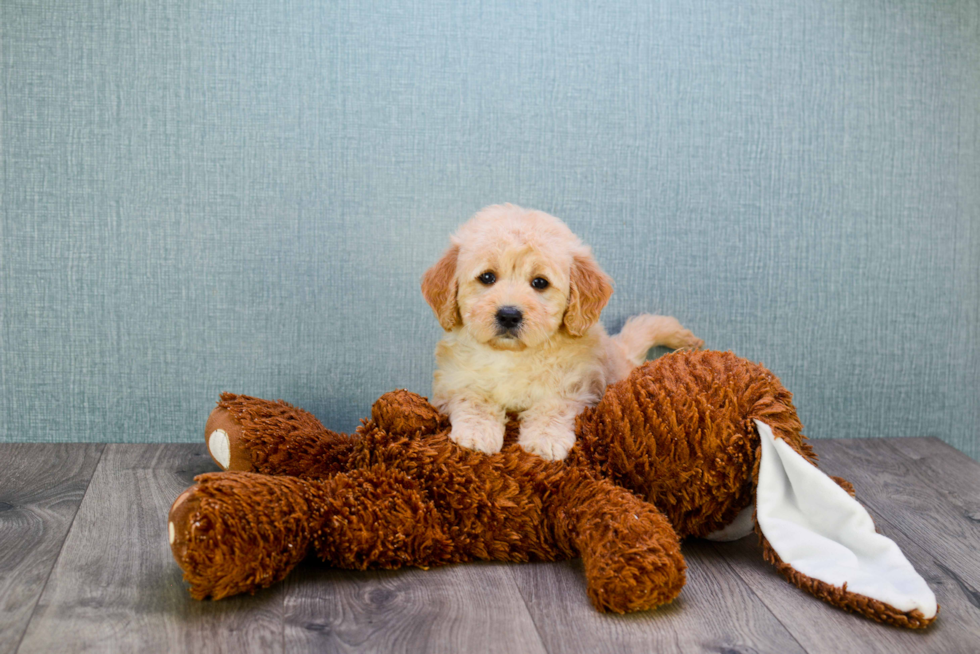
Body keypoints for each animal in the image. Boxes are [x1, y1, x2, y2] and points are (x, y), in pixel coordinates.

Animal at [422, 205, 704, 462]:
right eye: (487, 277)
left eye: (540, 283)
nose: (509, 314)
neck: (513, 355)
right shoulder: (454, 380)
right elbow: (473, 398)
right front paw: (477, 432)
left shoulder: (575, 384)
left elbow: (553, 407)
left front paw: (545, 439)